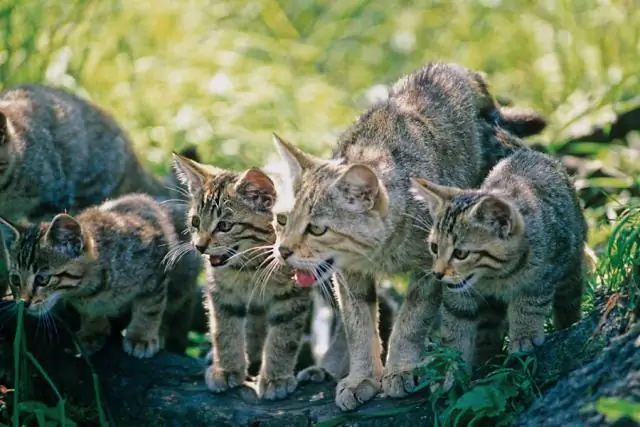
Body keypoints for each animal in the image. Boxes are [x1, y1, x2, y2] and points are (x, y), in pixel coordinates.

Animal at [0, 194, 194, 358]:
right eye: (15, 280)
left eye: (42, 279)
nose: (23, 303)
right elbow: (90, 312)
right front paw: (92, 332)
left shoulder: (156, 266)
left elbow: (150, 306)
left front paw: (141, 337)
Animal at [172, 153, 312, 402]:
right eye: (196, 222)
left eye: (225, 226)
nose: (199, 246)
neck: (250, 266)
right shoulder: (222, 291)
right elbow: (224, 329)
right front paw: (227, 368)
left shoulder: (292, 293)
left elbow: (284, 335)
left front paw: (276, 377)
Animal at [268, 61, 544, 412]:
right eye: (282, 220)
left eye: (316, 229)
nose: (283, 250)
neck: (380, 253)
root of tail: (455, 68)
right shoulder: (349, 275)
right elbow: (358, 326)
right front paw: (361, 377)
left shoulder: (434, 266)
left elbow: (412, 319)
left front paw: (401, 368)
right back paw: (326, 369)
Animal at [412, 148, 588, 368]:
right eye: (435, 248)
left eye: (460, 253)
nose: (437, 273)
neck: (495, 275)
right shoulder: (459, 296)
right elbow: (456, 322)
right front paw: (453, 363)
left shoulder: (544, 273)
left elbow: (529, 303)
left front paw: (524, 335)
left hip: (569, 260)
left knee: (569, 297)